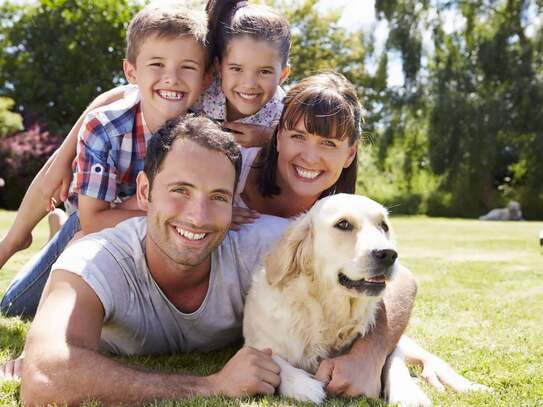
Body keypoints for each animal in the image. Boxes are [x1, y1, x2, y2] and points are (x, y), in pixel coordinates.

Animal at [244, 196, 432, 406]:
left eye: (383, 226)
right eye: (343, 224)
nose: (389, 254)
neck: (328, 312)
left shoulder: (393, 348)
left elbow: (394, 360)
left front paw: (408, 393)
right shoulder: (257, 341)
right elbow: (272, 359)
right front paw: (304, 386)